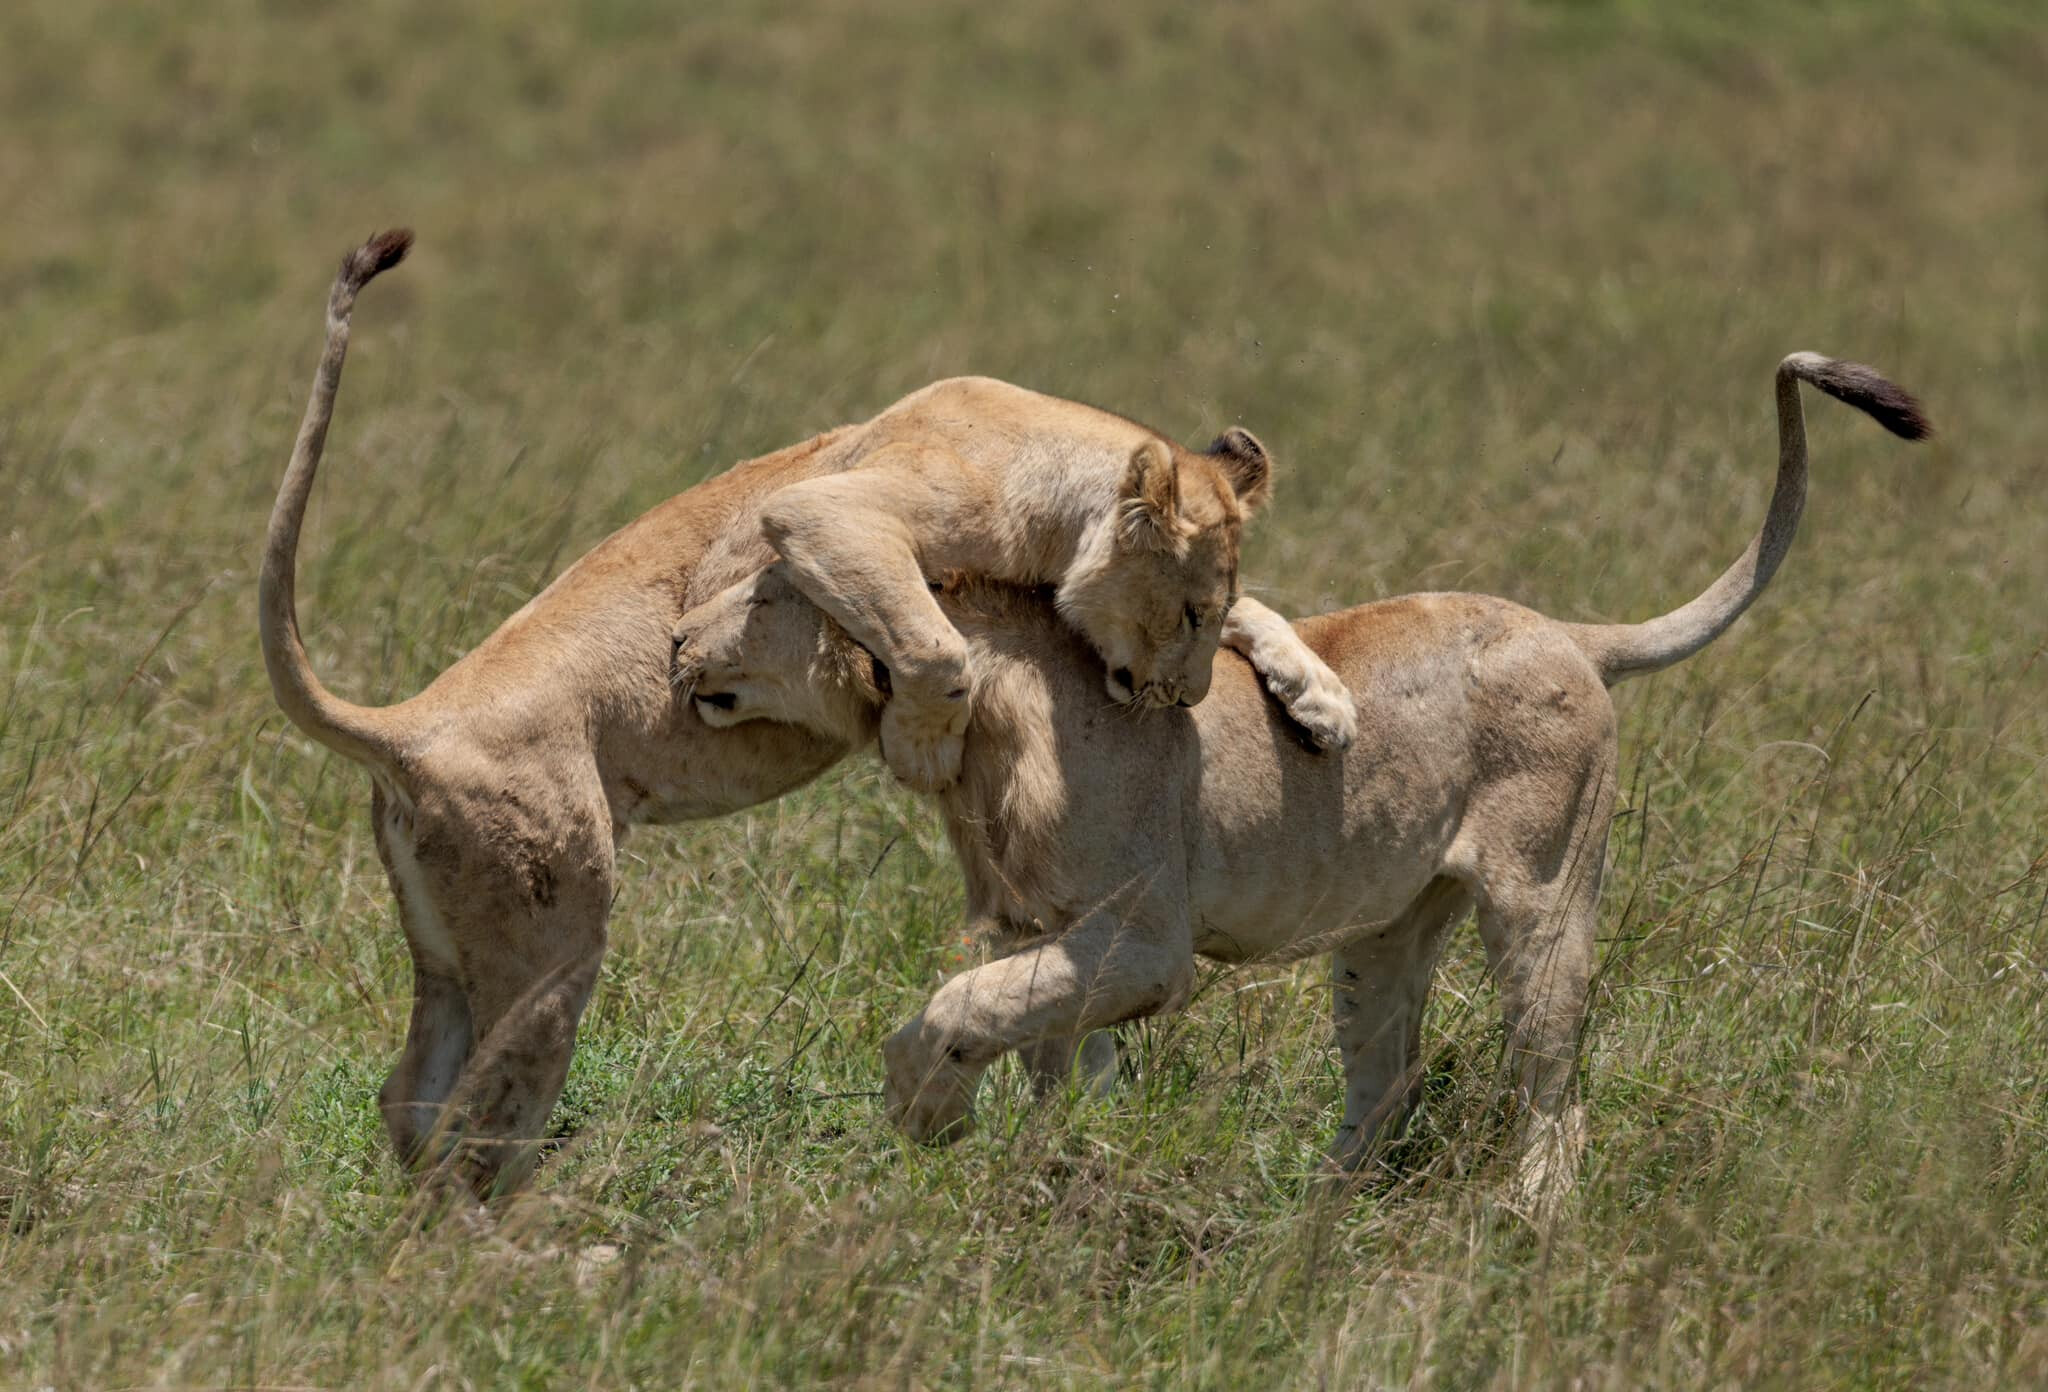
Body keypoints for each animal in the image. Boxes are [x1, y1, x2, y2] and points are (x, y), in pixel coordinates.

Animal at [729, 380, 1351, 790]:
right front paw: (921, 751)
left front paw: (1326, 701)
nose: (1191, 698)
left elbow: (1260, 611)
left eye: (1210, 615)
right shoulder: (820, 511)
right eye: (1191, 615)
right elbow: (936, 648)